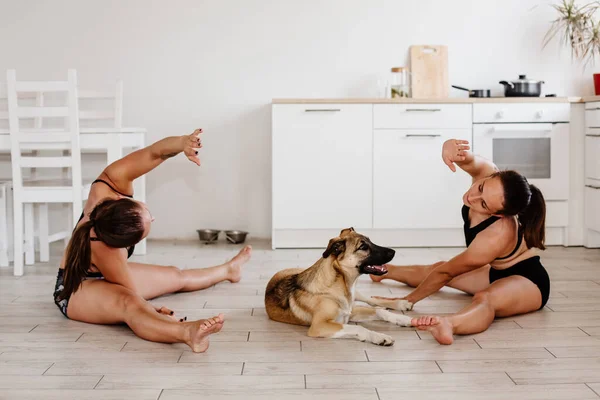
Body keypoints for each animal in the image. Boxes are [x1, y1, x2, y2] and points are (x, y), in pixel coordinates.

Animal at [264, 228, 414, 346]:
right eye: (363, 247)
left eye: (370, 241)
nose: (393, 252)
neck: (338, 285)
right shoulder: (319, 326)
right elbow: (359, 328)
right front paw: (378, 336)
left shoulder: (350, 311)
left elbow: (379, 312)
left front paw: (402, 318)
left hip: (357, 295)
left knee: (372, 300)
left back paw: (400, 304)